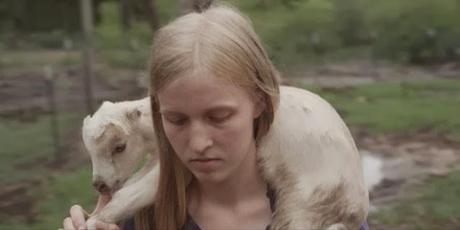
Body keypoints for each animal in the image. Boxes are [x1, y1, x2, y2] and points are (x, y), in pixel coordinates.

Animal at [82, 85, 368, 229]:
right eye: (89, 151)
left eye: (119, 146)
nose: (100, 184)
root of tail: (356, 209)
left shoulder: (179, 160)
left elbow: (141, 190)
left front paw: (95, 220)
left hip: (307, 199)